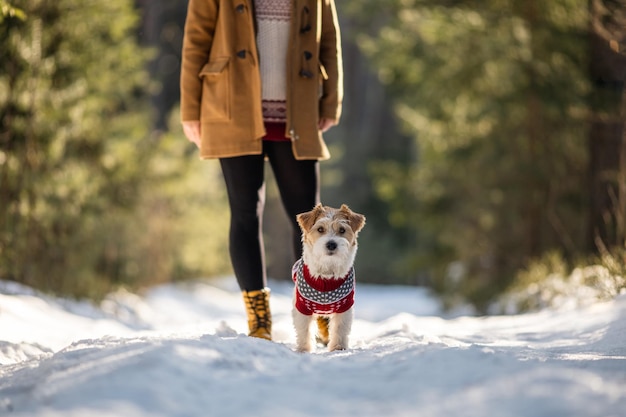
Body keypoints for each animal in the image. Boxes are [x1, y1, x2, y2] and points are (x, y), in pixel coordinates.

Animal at [292, 202, 366, 352]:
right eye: (320, 229)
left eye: (342, 230)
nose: (331, 244)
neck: (326, 275)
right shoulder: (302, 306)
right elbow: (304, 329)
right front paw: (304, 349)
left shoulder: (345, 307)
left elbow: (340, 328)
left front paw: (338, 347)